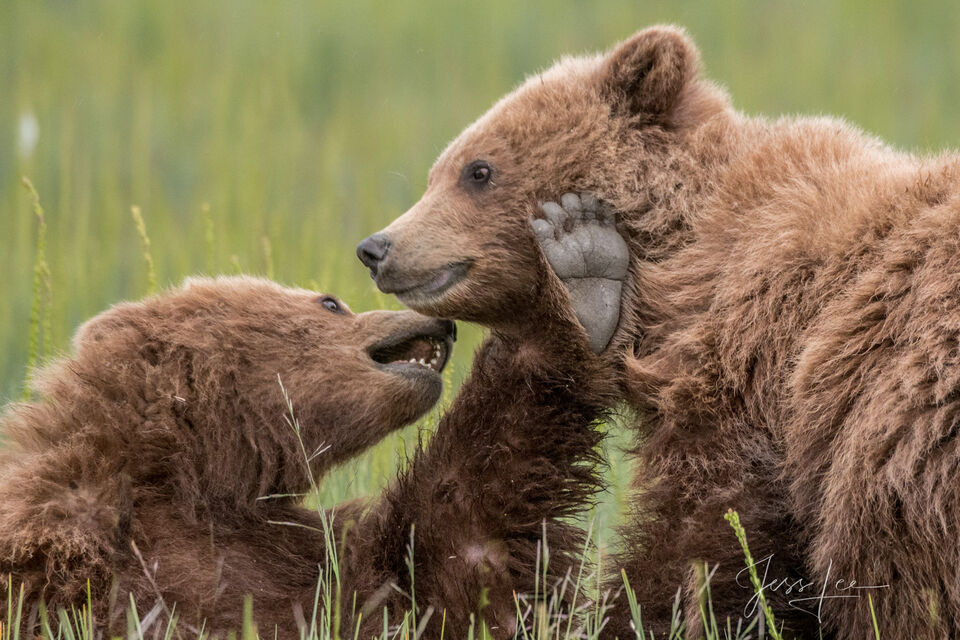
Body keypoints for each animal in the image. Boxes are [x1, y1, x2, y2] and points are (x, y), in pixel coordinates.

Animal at [1, 236, 621, 638]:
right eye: (330, 301)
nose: (442, 323)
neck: (182, 481)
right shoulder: (60, 553)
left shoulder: (298, 560)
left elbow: (454, 554)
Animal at [356, 24, 960, 639]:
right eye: (437, 171)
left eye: (477, 170)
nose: (377, 248)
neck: (679, 259)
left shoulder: (747, 363)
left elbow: (703, 532)